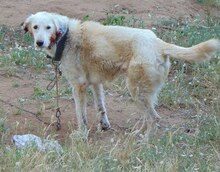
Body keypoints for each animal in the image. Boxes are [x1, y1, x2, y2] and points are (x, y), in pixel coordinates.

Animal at [22, 11, 220, 138]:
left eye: (48, 27)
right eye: (35, 27)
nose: (39, 43)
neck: (65, 36)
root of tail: (158, 42)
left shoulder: (78, 86)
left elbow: (81, 114)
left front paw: (81, 134)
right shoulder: (95, 84)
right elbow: (101, 107)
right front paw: (104, 126)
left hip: (135, 90)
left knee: (154, 118)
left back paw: (145, 141)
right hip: (142, 93)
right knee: (148, 117)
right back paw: (138, 133)